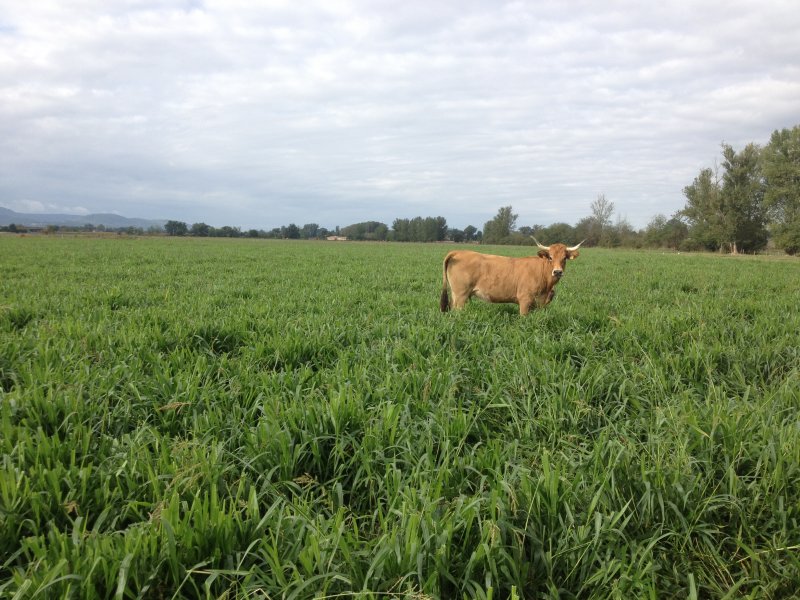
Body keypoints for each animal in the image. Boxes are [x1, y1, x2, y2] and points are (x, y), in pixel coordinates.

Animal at [440, 238, 584, 316]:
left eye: (564, 258)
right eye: (550, 257)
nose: (557, 272)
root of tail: (459, 252)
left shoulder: (539, 303)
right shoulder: (525, 300)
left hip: (456, 295)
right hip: (461, 295)